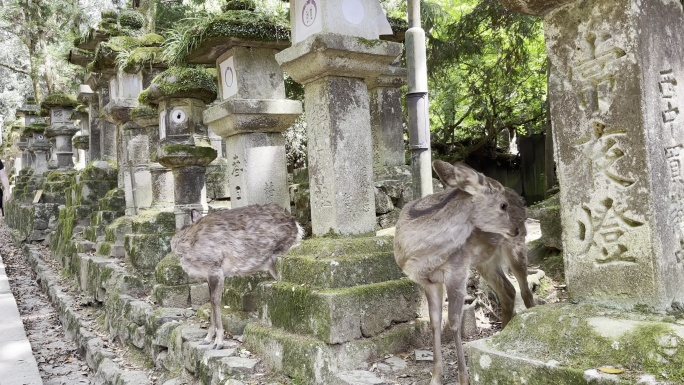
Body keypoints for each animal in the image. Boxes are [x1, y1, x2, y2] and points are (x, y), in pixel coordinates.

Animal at [170, 202, 304, 350]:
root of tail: (297, 225)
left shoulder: (215, 268)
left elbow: (216, 301)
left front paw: (218, 342)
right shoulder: (208, 275)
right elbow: (210, 301)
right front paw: (207, 339)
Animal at [396, 160, 536, 384]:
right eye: (502, 205)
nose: (514, 228)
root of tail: (519, 195)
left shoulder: (458, 269)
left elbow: (454, 321)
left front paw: (464, 378)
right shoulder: (427, 281)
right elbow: (434, 322)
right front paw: (436, 377)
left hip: (516, 248)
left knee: (525, 290)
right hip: (485, 261)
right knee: (508, 290)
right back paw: (501, 333)